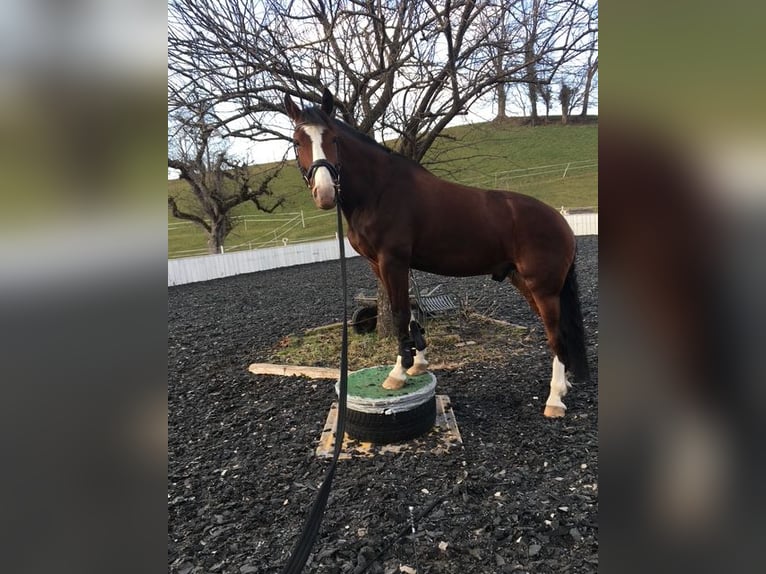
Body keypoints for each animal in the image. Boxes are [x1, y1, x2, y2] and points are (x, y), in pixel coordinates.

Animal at [284, 89, 592, 418]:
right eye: (297, 141)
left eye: (333, 139)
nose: (325, 194)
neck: (379, 190)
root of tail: (560, 221)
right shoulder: (379, 265)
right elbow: (408, 312)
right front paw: (417, 364)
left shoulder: (393, 261)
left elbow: (400, 312)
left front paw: (398, 374)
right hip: (525, 283)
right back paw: (563, 387)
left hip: (543, 288)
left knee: (556, 335)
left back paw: (554, 400)